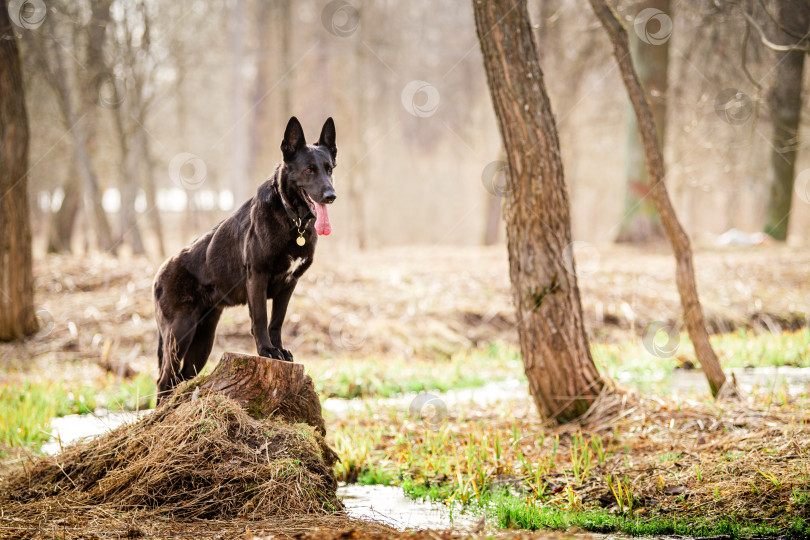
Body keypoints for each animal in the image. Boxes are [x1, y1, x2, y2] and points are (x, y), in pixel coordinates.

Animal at [153, 116, 336, 400]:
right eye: (308, 170)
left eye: (329, 169)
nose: (331, 196)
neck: (291, 219)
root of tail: (160, 272)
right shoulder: (257, 277)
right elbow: (260, 318)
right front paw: (266, 351)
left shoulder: (289, 284)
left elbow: (277, 321)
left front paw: (279, 351)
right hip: (180, 333)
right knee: (164, 381)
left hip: (202, 343)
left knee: (181, 378)